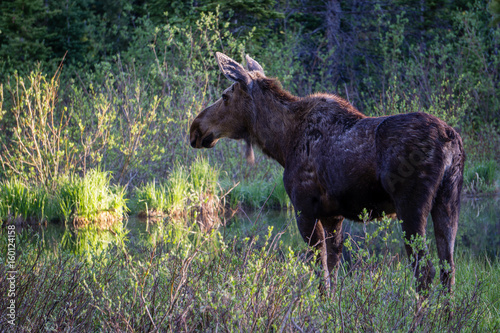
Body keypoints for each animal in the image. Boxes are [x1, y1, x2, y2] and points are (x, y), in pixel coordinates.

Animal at [190, 52, 464, 294]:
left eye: (225, 95)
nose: (195, 128)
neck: (282, 143)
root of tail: (451, 140)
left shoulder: (305, 208)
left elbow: (320, 272)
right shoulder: (334, 215)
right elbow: (333, 269)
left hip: (411, 205)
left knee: (425, 271)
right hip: (448, 200)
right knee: (448, 269)